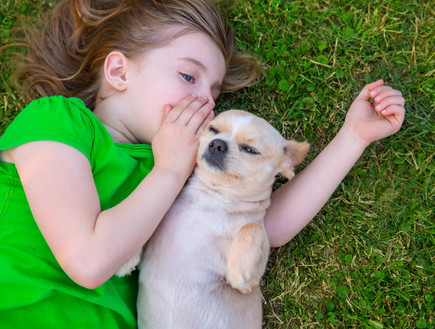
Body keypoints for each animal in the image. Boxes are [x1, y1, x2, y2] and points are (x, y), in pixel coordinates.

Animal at [119, 109, 310, 326]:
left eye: (250, 150)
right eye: (213, 129)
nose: (217, 143)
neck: (211, 197)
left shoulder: (250, 284)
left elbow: (252, 227)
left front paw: (240, 267)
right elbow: (145, 222)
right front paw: (126, 255)